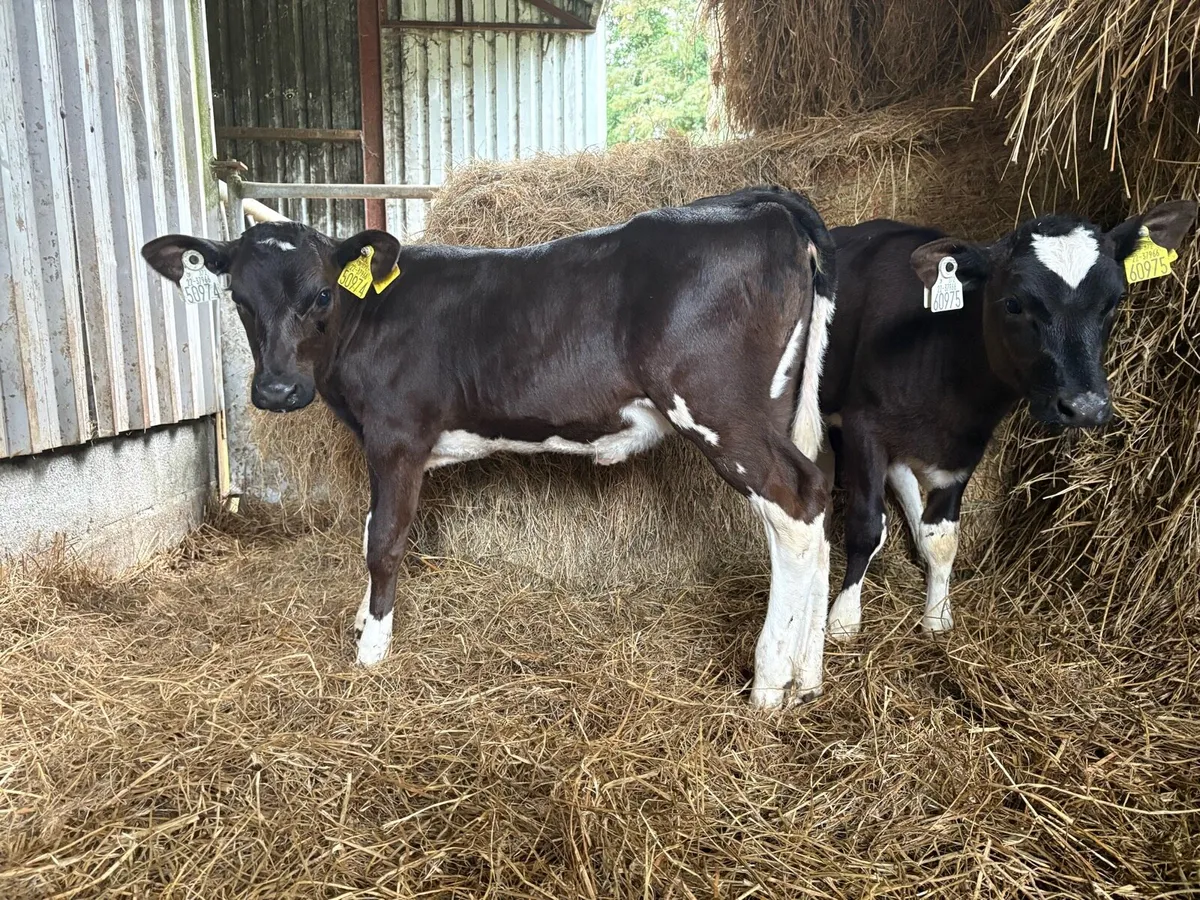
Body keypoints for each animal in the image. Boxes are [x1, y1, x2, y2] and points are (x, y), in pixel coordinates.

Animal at [142, 187, 838, 708]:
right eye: (238, 298)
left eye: (320, 293)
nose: (277, 389)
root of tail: (757, 203)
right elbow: (369, 525)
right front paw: (364, 621)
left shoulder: (397, 436)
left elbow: (384, 538)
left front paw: (372, 650)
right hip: (779, 408)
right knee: (819, 501)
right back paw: (807, 677)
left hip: (721, 409)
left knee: (795, 507)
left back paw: (770, 683)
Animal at [818, 201, 1197, 639]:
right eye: (1014, 303)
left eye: (1114, 301)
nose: (1085, 406)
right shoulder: (863, 426)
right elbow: (865, 526)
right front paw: (843, 619)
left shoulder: (965, 445)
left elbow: (942, 537)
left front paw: (937, 615)